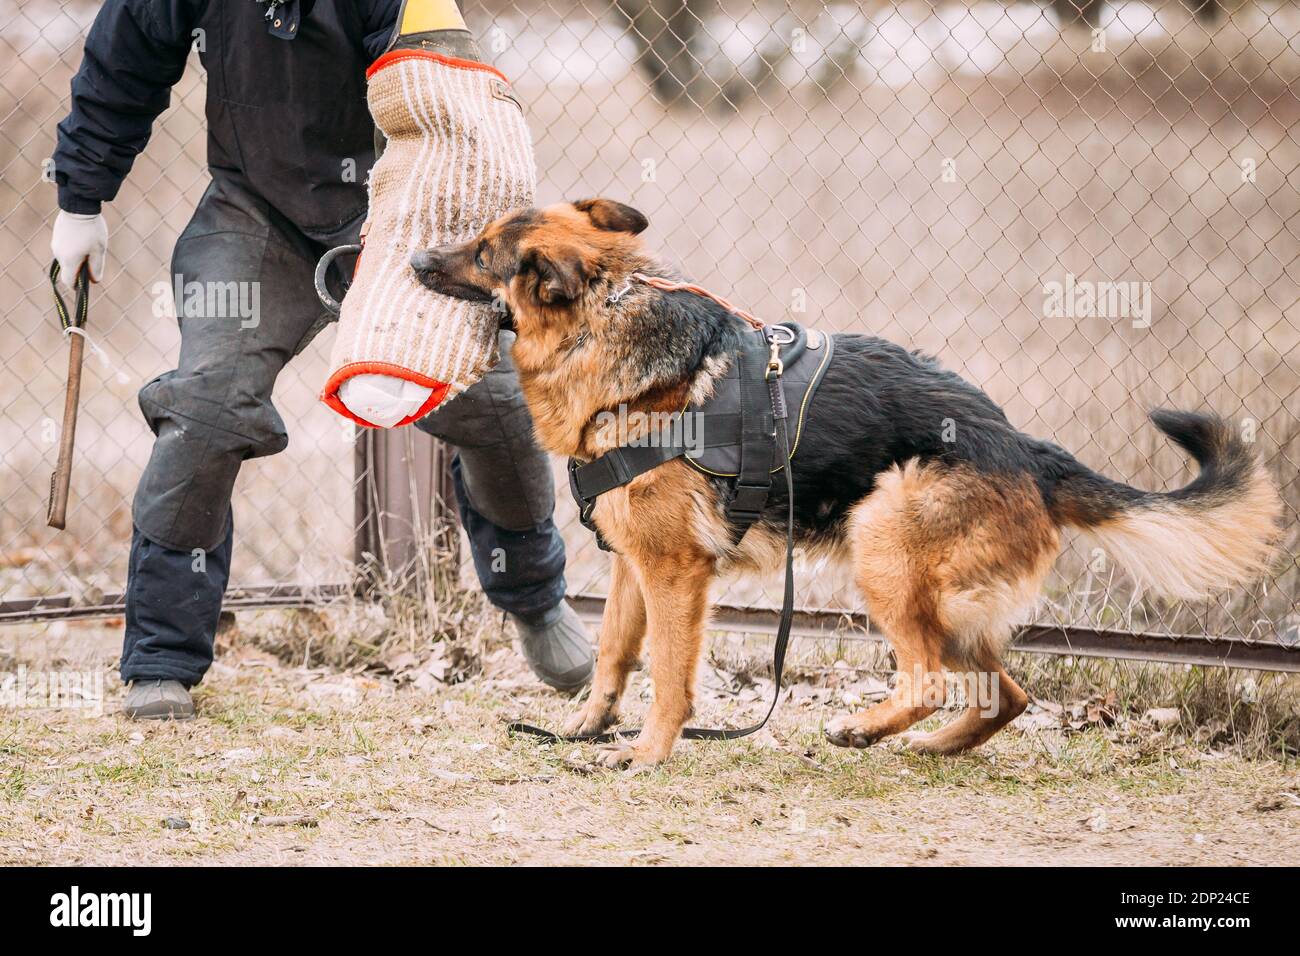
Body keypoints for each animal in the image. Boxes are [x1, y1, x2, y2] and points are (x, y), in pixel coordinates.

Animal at [413, 200, 1279, 770]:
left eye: (484, 253)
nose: (416, 260)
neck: (608, 324)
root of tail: (1028, 450)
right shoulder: (634, 566)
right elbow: (614, 657)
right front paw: (589, 727)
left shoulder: (674, 573)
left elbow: (667, 674)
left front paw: (649, 753)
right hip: (947, 600)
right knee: (1006, 692)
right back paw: (928, 745)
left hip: (883, 546)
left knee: (931, 678)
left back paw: (866, 728)